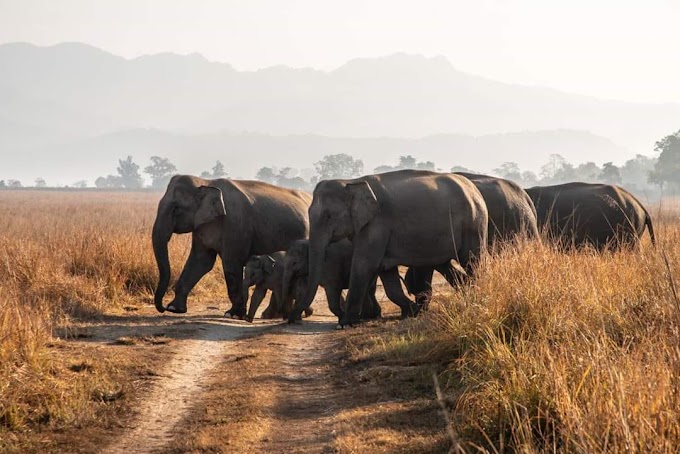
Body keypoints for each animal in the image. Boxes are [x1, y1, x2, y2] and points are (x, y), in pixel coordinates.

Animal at [151, 176, 310, 318]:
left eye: (176, 208)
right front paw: (174, 309)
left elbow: (231, 263)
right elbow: (201, 261)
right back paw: (272, 315)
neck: (205, 182)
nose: (162, 308)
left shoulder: (235, 224)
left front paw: (232, 314)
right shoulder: (201, 225)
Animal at [290, 169, 486, 326]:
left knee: (472, 261)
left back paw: (477, 297)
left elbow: (364, 265)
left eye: (329, 217)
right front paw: (412, 312)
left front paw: (345, 324)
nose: (293, 320)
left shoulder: (377, 225)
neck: (352, 182)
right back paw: (465, 293)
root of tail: (474, 190)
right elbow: (387, 274)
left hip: (474, 224)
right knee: (446, 265)